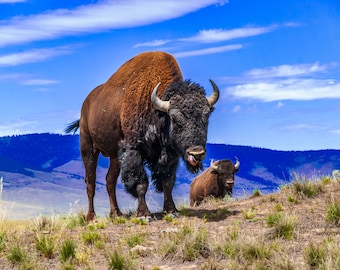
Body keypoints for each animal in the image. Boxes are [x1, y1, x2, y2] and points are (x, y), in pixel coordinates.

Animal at [65, 51, 220, 221]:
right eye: (174, 118)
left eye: (206, 116)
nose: (196, 153)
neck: (158, 111)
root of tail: (86, 105)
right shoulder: (134, 150)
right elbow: (141, 183)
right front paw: (144, 215)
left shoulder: (169, 156)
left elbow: (167, 182)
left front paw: (172, 211)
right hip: (88, 147)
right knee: (90, 181)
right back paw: (91, 217)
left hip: (114, 156)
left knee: (110, 181)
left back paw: (116, 214)